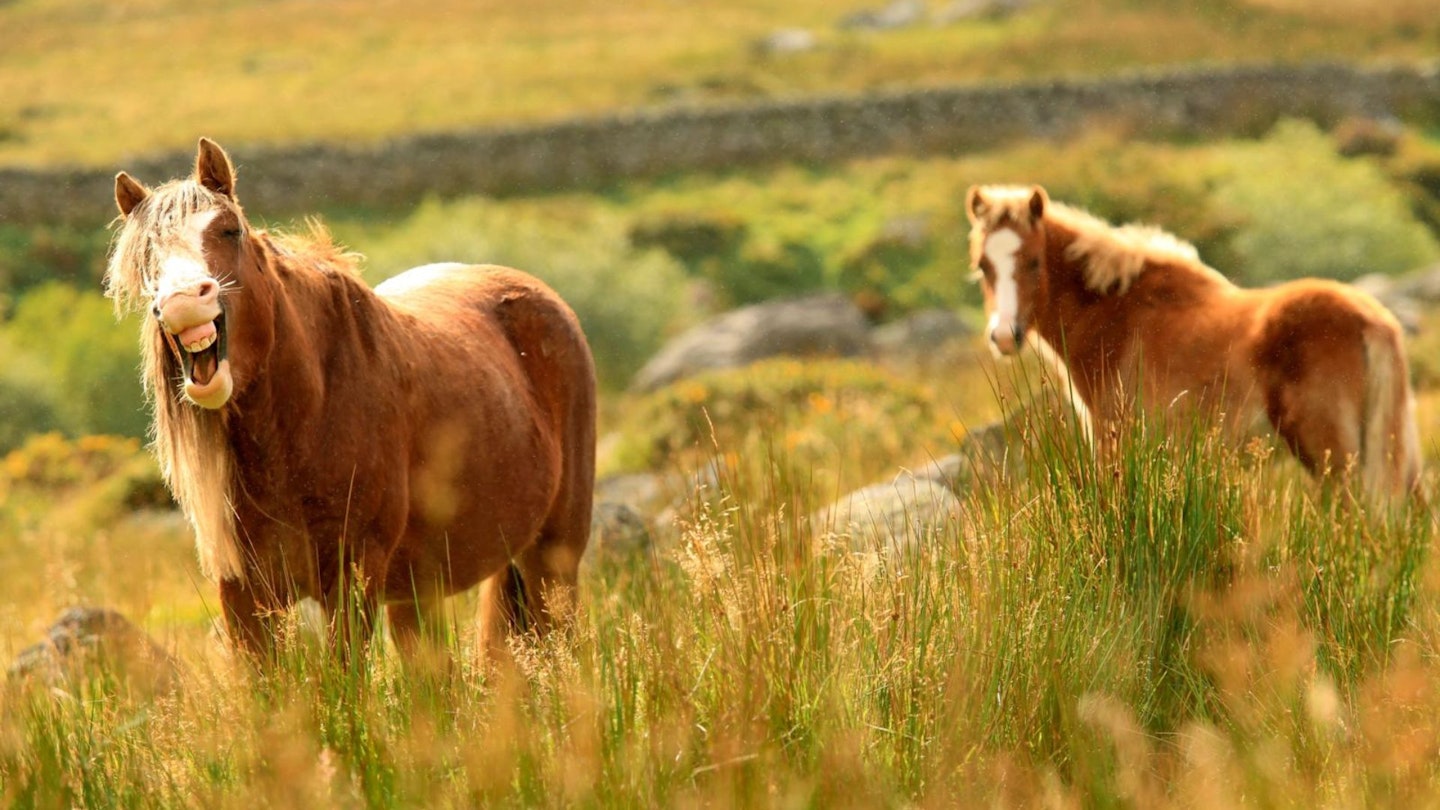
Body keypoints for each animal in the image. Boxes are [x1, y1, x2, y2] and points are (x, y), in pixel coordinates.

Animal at [104, 136, 593, 657]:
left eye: (230, 230)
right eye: (146, 258)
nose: (180, 302)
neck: (303, 421)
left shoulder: (351, 579)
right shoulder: (243, 596)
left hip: (554, 561)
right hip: (421, 593)